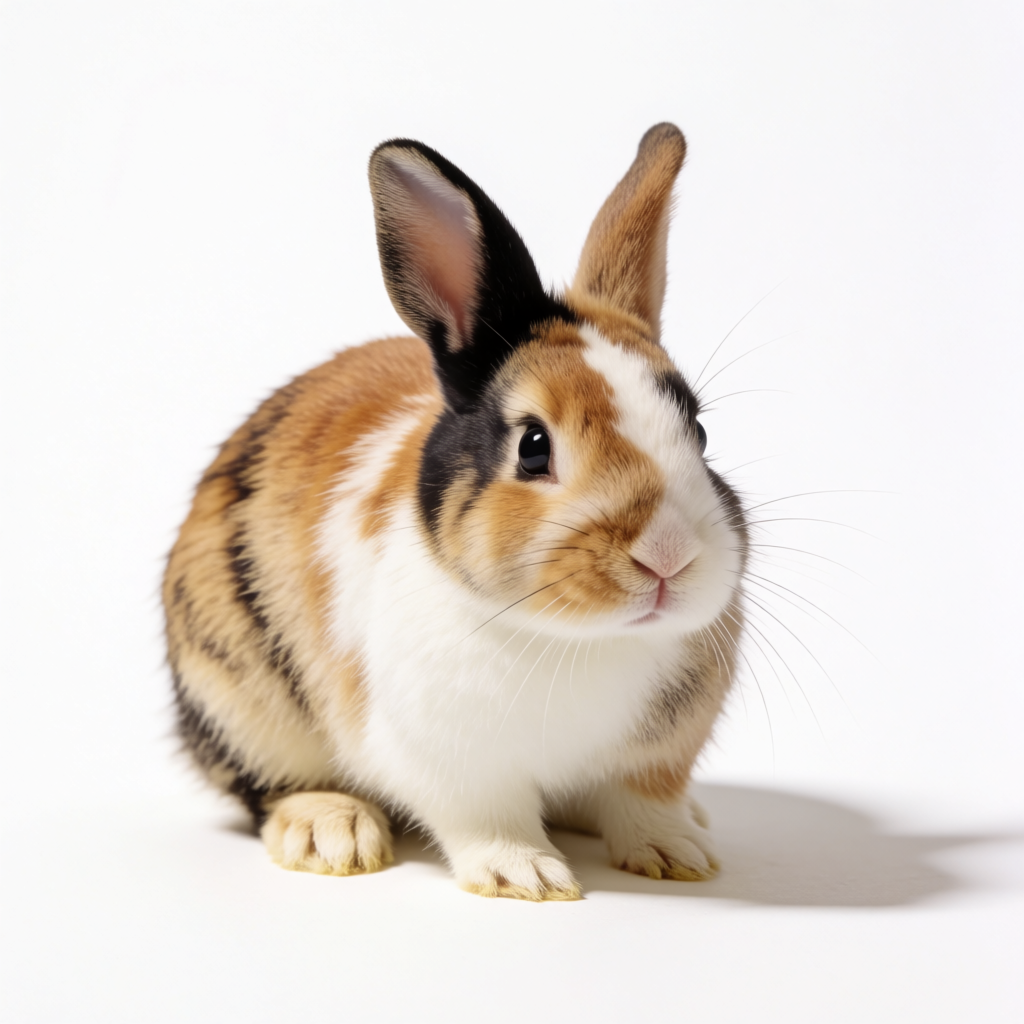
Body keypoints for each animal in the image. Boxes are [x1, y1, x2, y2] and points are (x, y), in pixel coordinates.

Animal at [163, 122, 748, 901]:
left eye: (700, 432)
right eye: (533, 447)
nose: (668, 556)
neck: (581, 640)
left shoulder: (655, 757)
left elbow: (641, 802)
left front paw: (676, 854)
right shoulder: (454, 767)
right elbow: (488, 819)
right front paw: (526, 877)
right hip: (237, 698)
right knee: (266, 785)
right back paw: (331, 830)